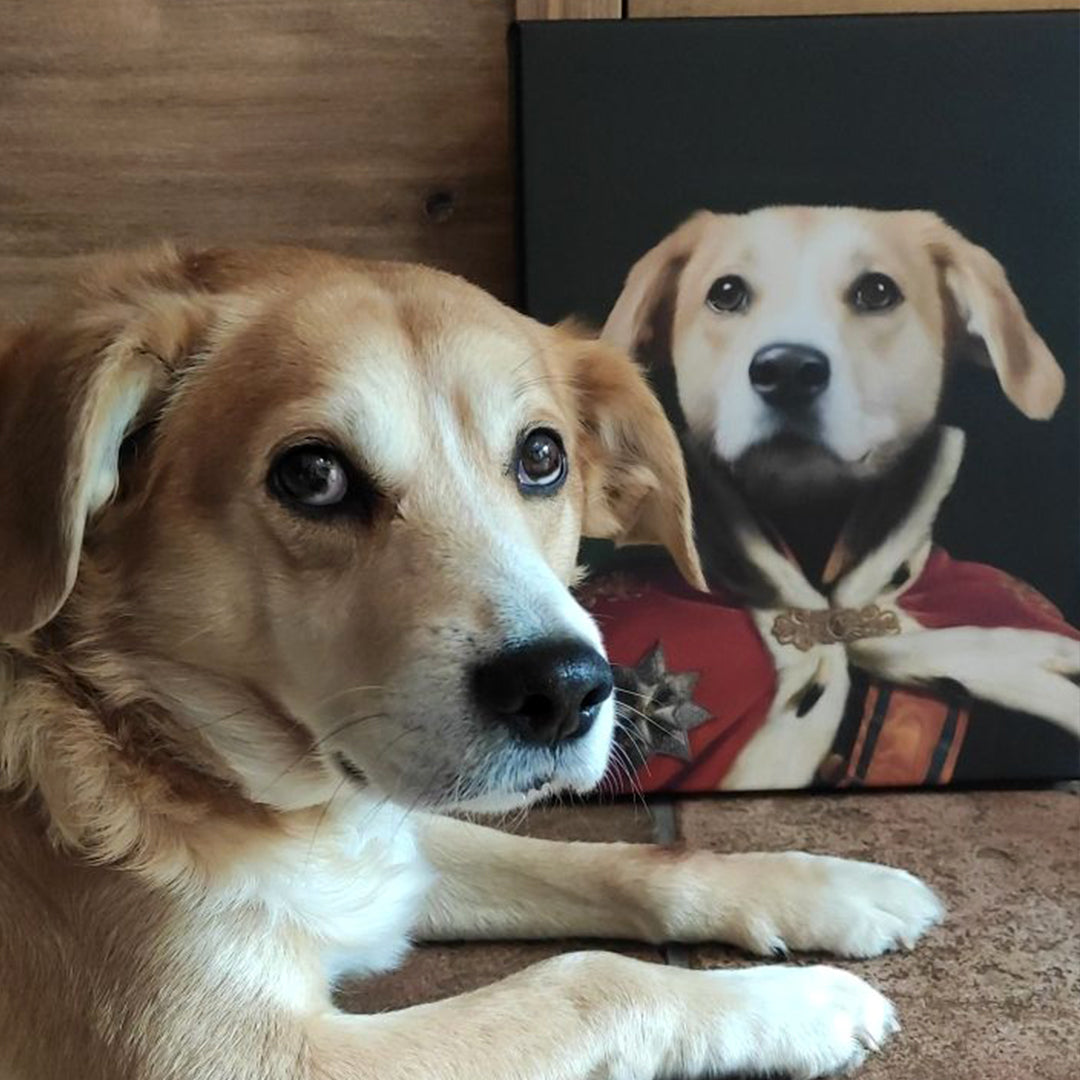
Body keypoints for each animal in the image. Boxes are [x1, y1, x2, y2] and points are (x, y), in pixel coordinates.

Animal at [0, 245, 941, 1080]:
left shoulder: (400, 845)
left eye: (542, 456)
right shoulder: (226, 1052)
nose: (566, 691)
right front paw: (799, 1005)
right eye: (311, 474)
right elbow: (585, 982)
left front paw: (828, 890)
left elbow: (629, 862)